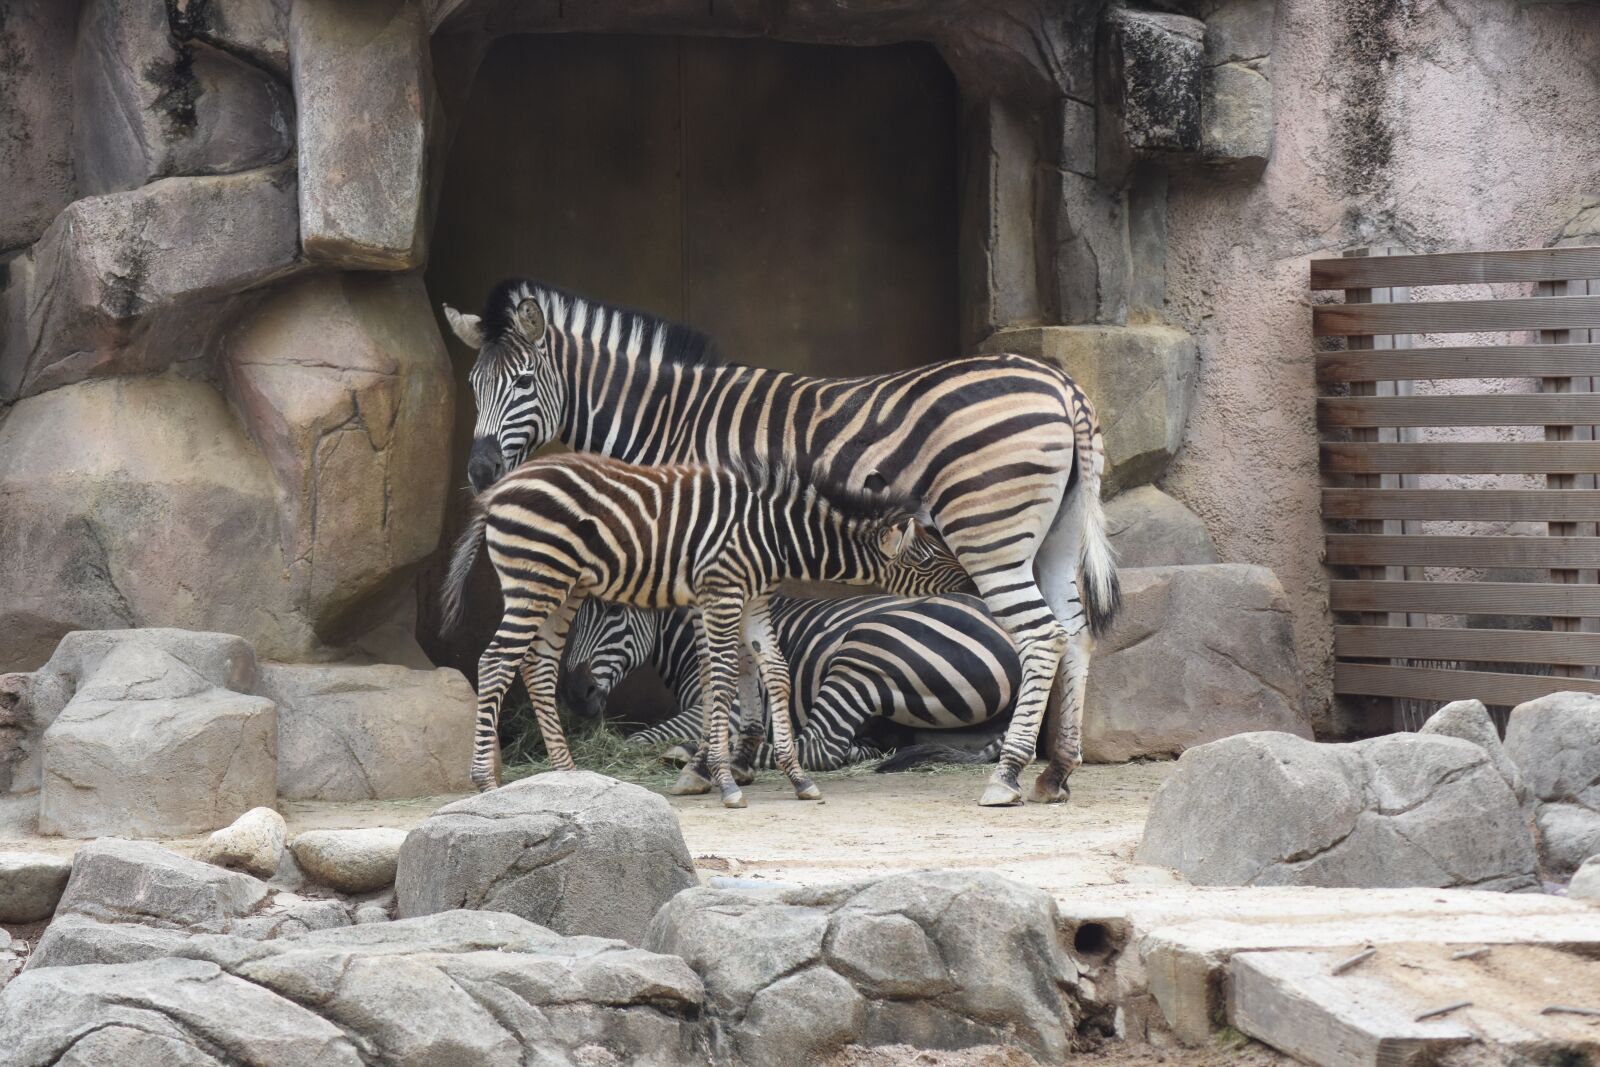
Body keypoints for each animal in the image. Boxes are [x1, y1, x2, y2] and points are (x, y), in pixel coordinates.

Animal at [440, 451, 923, 806]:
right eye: (925, 558)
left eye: (613, 611)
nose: (578, 695)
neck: (771, 532)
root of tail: (497, 493)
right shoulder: (722, 592)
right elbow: (717, 682)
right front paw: (720, 776)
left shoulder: (744, 600)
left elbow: (762, 672)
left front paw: (750, 770)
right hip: (535, 580)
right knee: (497, 661)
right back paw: (488, 782)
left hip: (559, 586)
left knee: (536, 666)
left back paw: (567, 776)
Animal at [560, 592, 1019, 773]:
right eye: (573, 614)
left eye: (615, 611)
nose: (575, 695)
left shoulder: (729, 707)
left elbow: (636, 740)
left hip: (867, 649)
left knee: (820, 747)